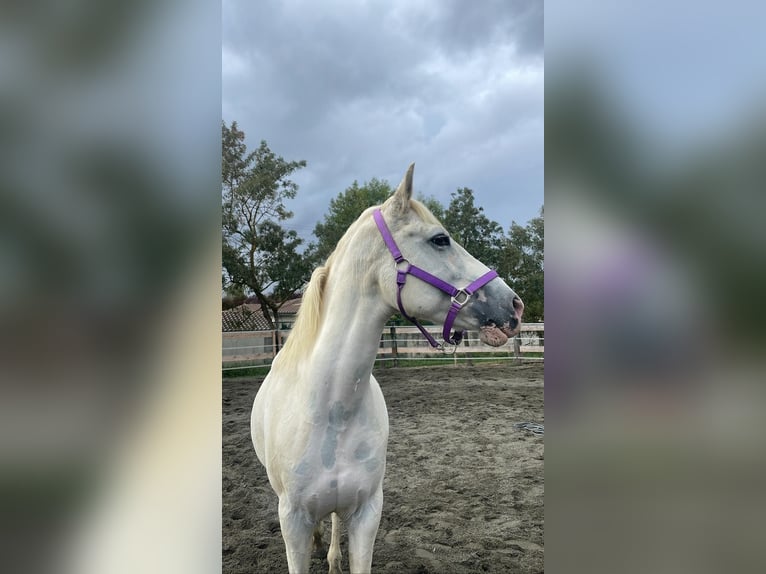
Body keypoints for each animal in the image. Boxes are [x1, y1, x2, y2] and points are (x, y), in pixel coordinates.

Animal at [252, 164, 520, 572]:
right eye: (440, 240)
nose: (515, 304)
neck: (331, 414)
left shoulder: (367, 513)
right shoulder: (292, 522)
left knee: (334, 521)